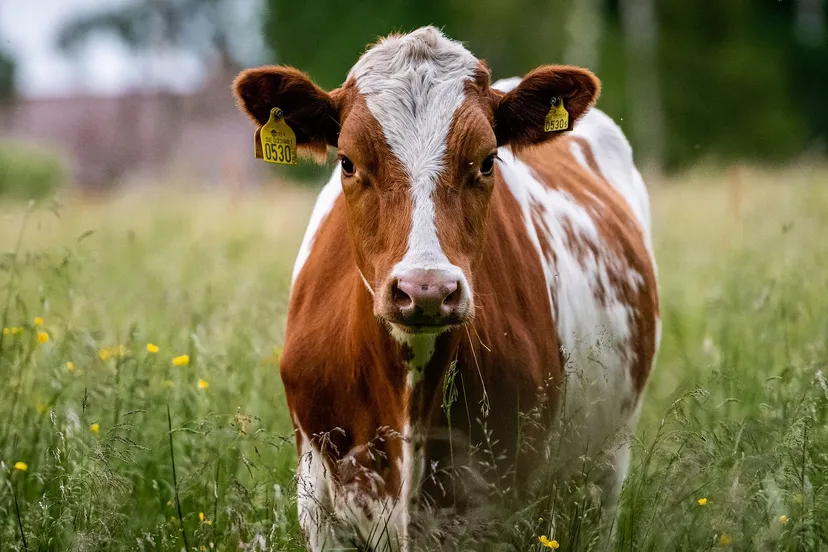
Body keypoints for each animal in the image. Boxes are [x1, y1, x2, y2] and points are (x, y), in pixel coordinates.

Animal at [233, 26, 660, 552]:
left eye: (487, 161)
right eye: (348, 162)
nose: (427, 289)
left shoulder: (502, 509)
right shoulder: (320, 507)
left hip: (603, 472)